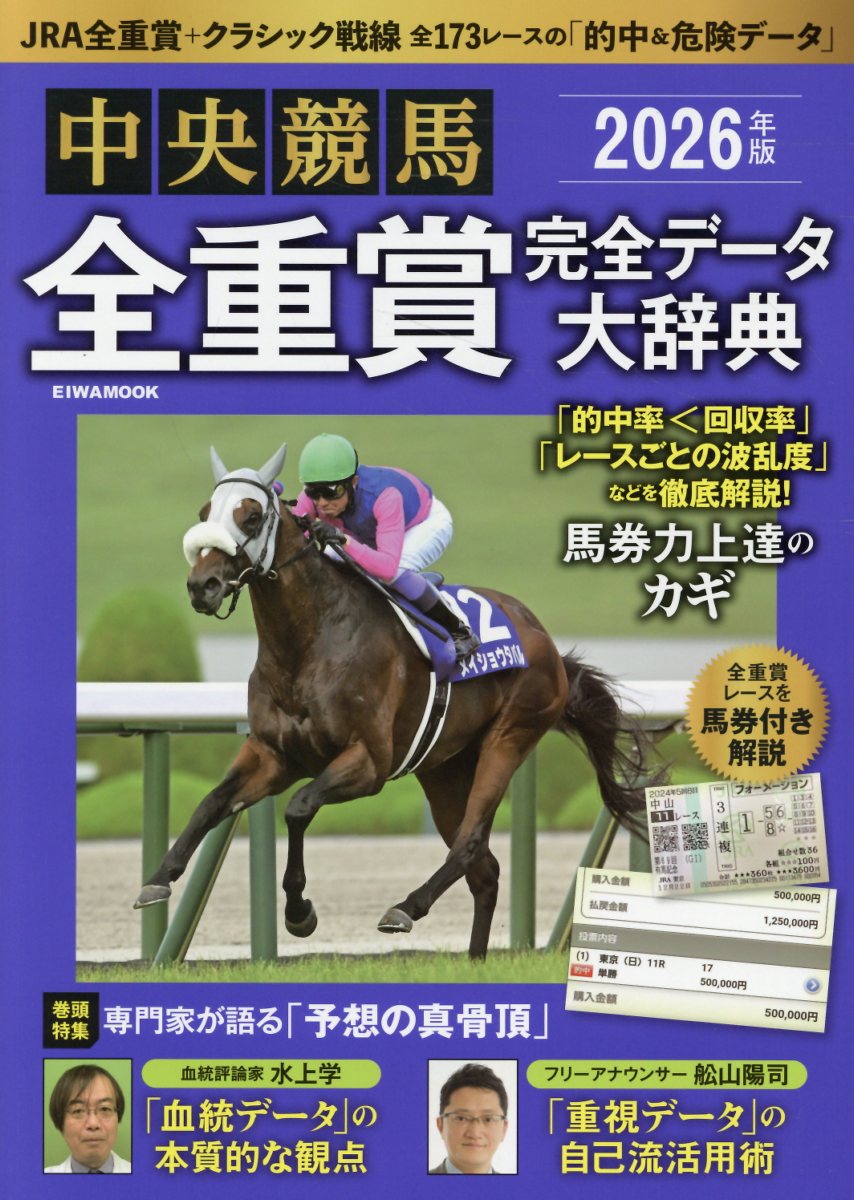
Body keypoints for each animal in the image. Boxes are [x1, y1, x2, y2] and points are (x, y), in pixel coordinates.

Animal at [135, 444, 648, 958]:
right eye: (205, 513)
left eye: (252, 515)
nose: (202, 585)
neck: (308, 644)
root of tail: (546, 642)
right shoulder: (273, 754)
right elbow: (211, 803)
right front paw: (159, 878)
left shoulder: (369, 763)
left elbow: (298, 808)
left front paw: (300, 912)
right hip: (443, 769)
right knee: (484, 870)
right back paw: (474, 959)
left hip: (510, 736)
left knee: (469, 841)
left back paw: (406, 908)